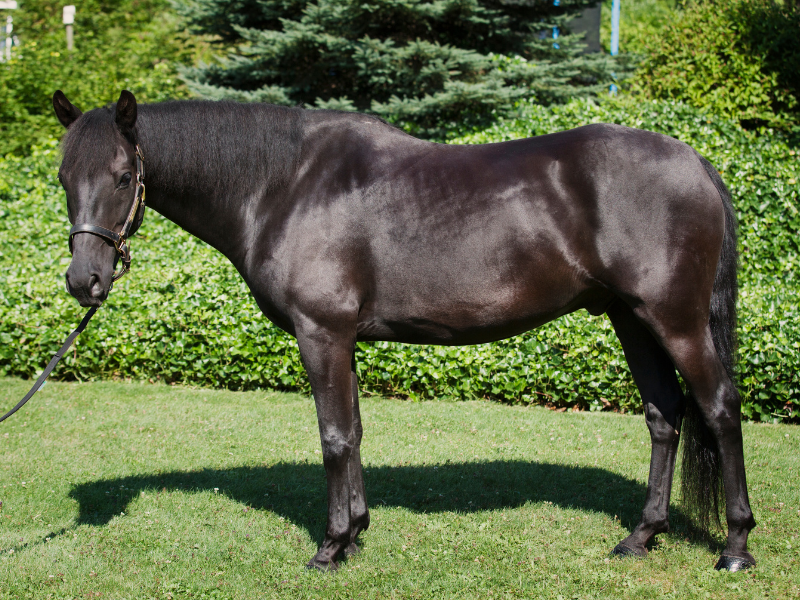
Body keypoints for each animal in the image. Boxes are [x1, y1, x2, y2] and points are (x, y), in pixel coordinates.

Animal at [51, 89, 756, 572]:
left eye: (123, 176)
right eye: (62, 178)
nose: (85, 280)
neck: (285, 184)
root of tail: (694, 161)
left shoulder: (322, 333)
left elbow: (334, 437)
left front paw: (330, 547)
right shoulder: (344, 339)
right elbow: (355, 433)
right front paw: (357, 532)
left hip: (675, 320)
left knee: (719, 409)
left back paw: (736, 547)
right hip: (631, 319)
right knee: (664, 415)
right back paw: (641, 537)